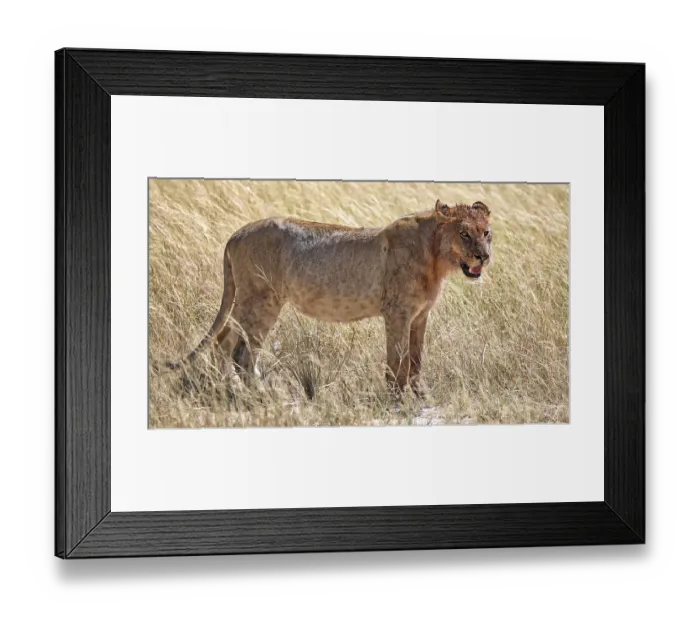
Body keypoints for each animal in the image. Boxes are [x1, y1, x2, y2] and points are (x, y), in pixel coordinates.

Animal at [166, 199, 493, 393]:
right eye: (464, 234)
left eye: (486, 232)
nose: (484, 256)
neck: (437, 257)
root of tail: (235, 234)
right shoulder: (397, 312)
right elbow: (397, 357)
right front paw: (398, 398)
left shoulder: (421, 315)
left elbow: (416, 357)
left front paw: (419, 393)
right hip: (261, 300)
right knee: (235, 346)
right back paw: (253, 391)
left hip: (255, 300)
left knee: (233, 344)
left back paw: (245, 387)